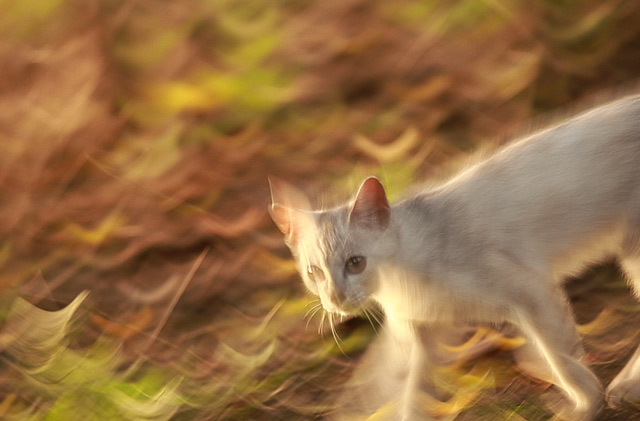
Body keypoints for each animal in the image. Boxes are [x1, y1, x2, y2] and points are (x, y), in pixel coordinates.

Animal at [268, 95, 640, 420]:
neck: (398, 287)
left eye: (355, 263)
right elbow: (408, 399)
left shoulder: (531, 293)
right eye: (314, 273)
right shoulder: (423, 336)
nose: (335, 299)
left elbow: (563, 362)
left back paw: (621, 389)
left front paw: (585, 407)